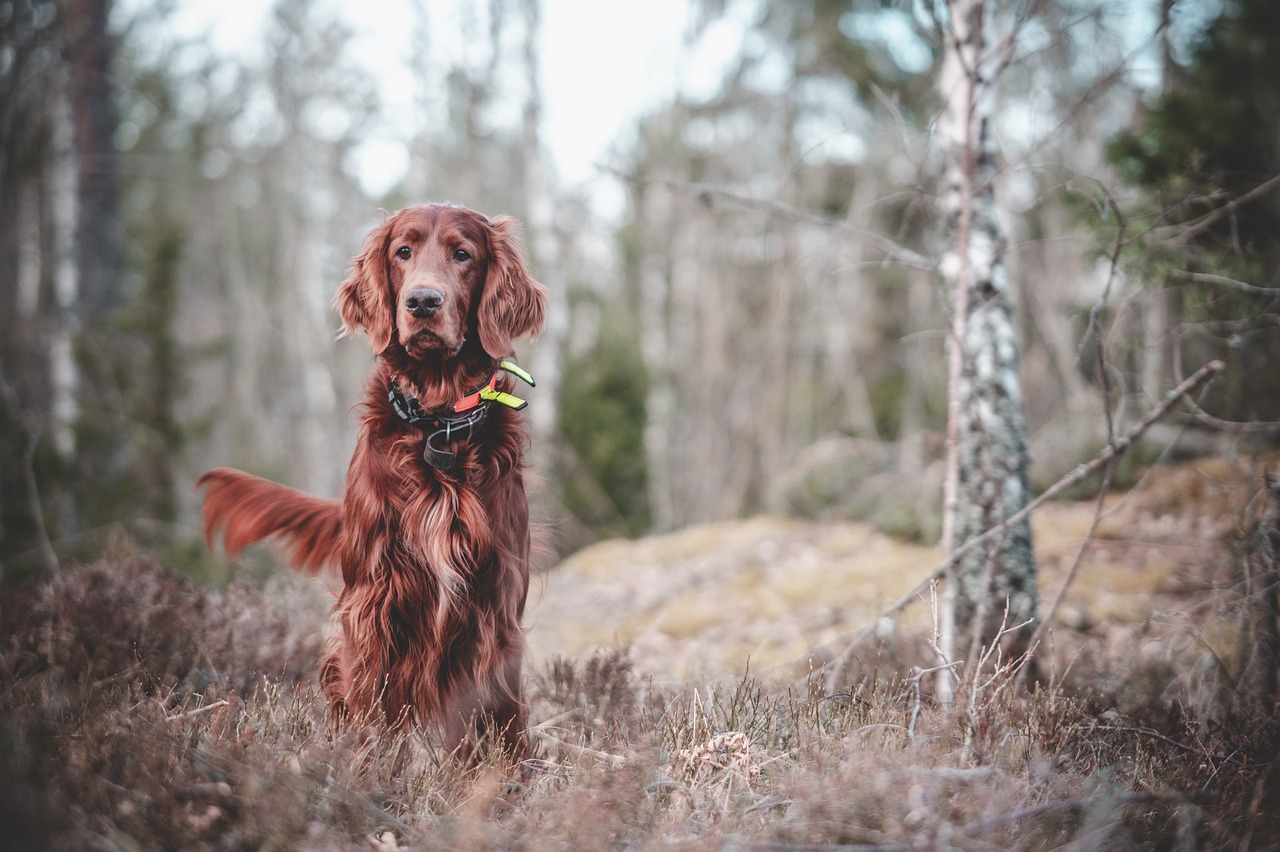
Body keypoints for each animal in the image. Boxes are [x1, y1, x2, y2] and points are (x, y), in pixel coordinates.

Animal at [199, 205, 545, 757]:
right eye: (403, 252)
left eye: (462, 254)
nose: (422, 302)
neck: (437, 423)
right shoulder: (375, 597)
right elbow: (370, 700)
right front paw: (362, 767)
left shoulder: (496, 601)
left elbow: (493, 713)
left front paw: (497, 775)